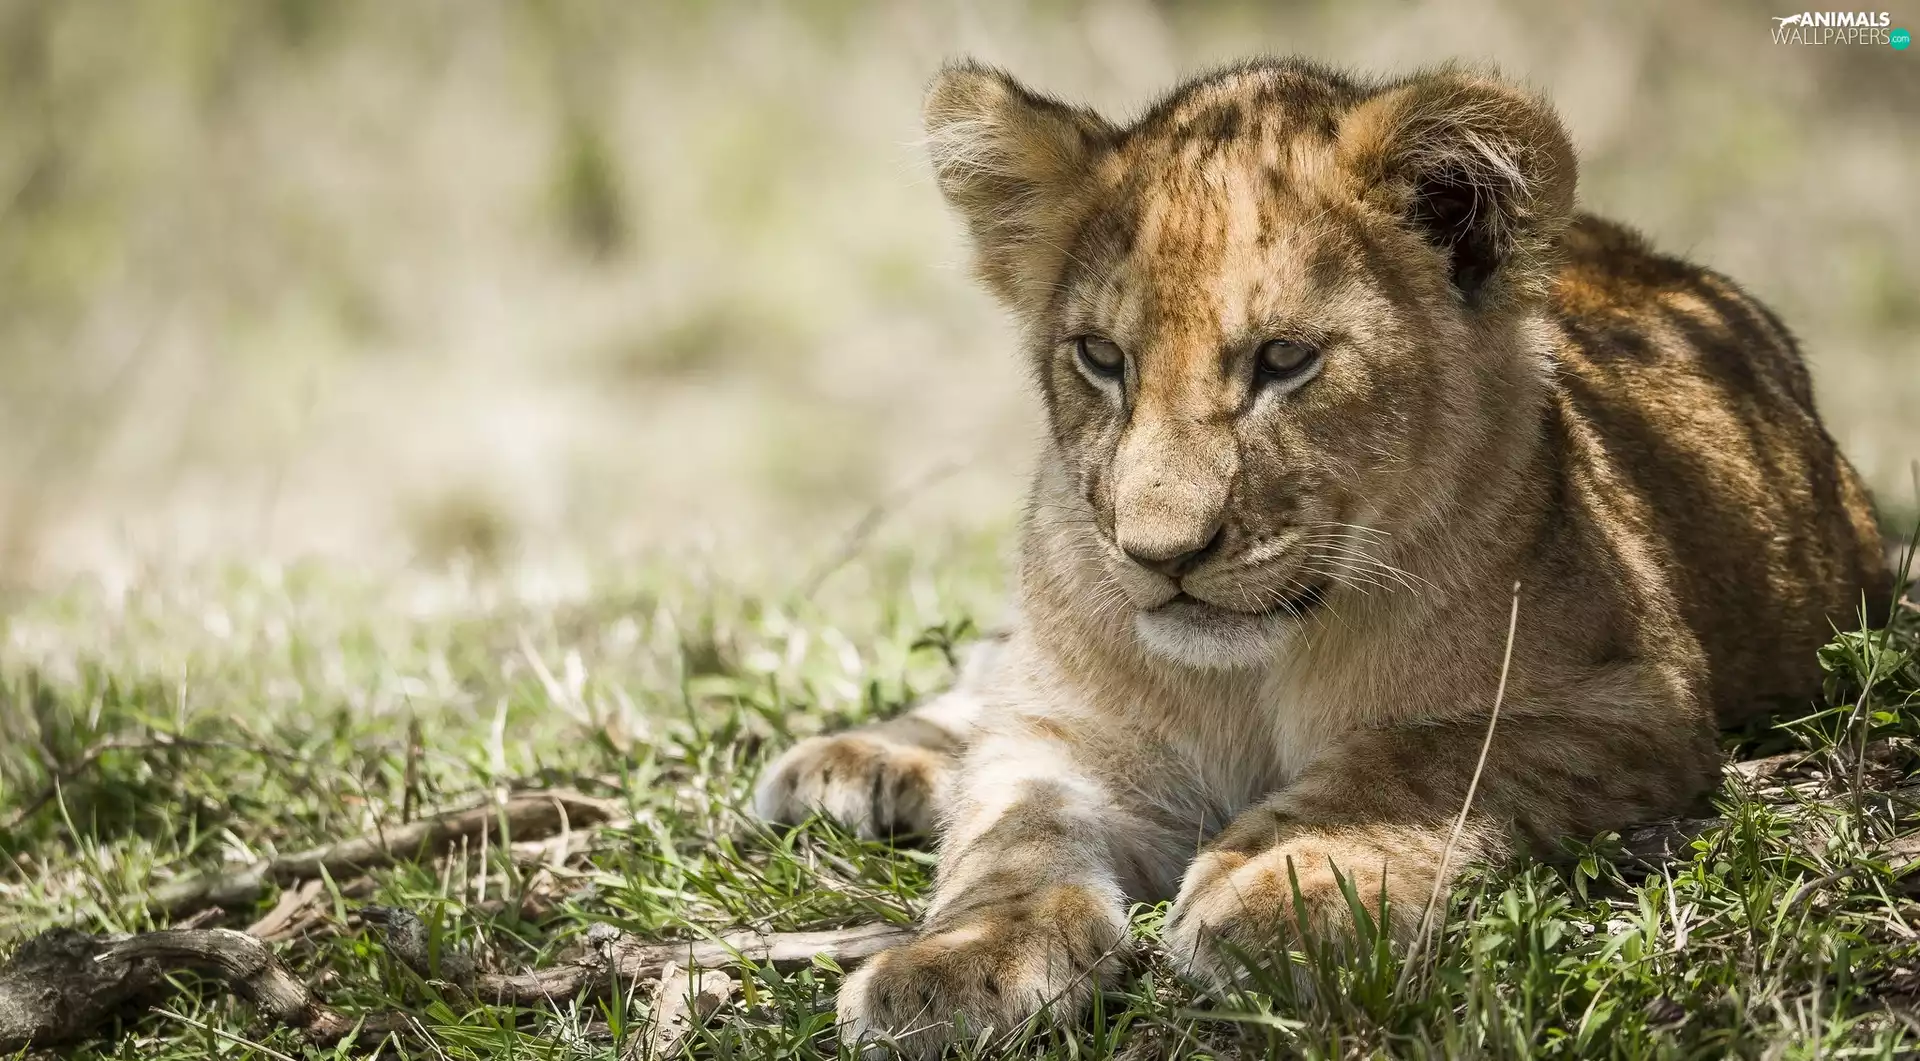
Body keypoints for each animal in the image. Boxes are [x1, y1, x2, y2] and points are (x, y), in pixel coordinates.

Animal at [753, 58, 1890, 1056]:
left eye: (1285, 361)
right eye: (1103, 358)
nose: (1160, 553)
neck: (1248, 674)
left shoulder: (1632, 700)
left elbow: (1416, 759)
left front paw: (1283, 889)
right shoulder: (1061, 732)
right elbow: (1010, 833)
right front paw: (953, 962)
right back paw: (853, 761)